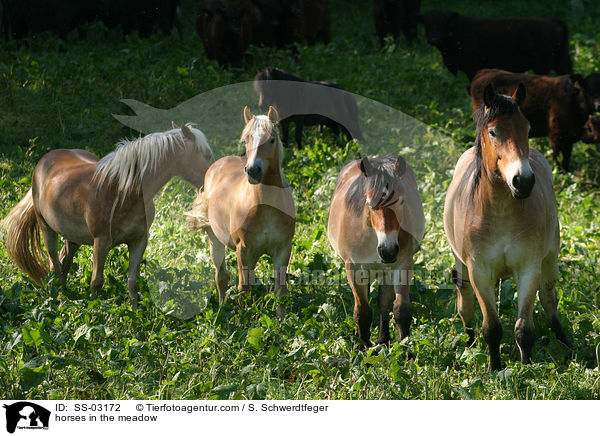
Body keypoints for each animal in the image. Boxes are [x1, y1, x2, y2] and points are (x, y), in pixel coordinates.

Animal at [1, 123, 213, 310]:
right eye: (206, 155)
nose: (212, 182)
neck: (124, 191)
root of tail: (44, 160)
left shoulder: (139, 240)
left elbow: (133, 282)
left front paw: (135, 313)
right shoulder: (101, 241)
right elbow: (97, 281)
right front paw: (96, 312)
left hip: (73, 237)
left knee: (64, 263)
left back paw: (64, 297)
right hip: (47, 229)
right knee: (55, 266)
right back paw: (58, 300)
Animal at [185, 105, 292, 316]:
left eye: (272, 139)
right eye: (247, 139)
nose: (252, 170)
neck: (266, 207)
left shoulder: (283, 249)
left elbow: (280, 291)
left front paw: (282, 321)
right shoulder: (244, 249)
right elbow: (244, 289)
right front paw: (245, 319)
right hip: (216, 241)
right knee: (221, 278)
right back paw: (221, 310)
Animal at [326, 153, 424, 348]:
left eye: (402, 201)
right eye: (370, 204)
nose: (388, 250)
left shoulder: (403, 264)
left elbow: (400, 310)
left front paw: (405, 349)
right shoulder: (354, 268)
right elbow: (362, 312)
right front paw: (363, 348)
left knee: (383, 302)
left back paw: (383, 340)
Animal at [446, 83, 572, 370]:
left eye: (527, 128)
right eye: (493, 131)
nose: (523, 180)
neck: (500, 211)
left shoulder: (528, 269)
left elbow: (523, 328)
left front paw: (526, 368)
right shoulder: (479, 272)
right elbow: (491, 327)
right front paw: (495, 367)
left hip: (550, 260)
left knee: (549, 298)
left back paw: (565, 342)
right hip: (463, 267)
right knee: (465, 303)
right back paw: (469, 343)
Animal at [468, 68, 600, 170]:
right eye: (589, 90)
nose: (599, 105)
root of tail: (482, 72)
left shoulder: (569, 136)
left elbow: (566, 159)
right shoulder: (556, 134)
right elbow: (557, 157)